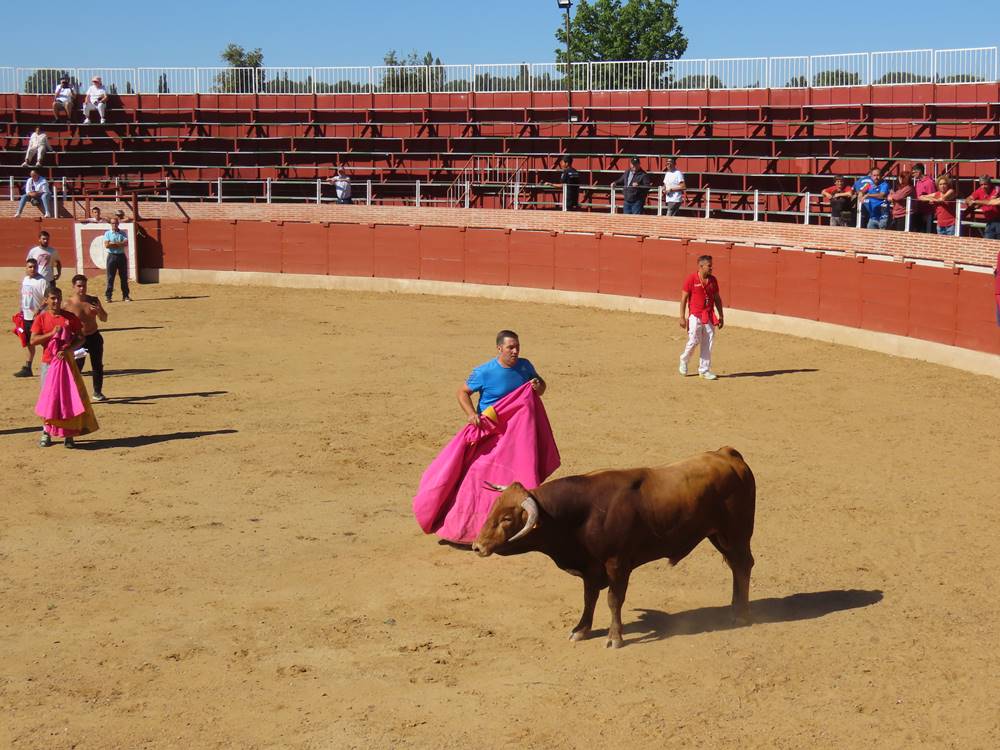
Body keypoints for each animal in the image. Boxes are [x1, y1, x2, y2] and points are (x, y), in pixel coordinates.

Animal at [472, 450, 752, 648]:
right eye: (493, 508)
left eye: (507, 518)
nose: (477, 546)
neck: (582, 514)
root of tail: (728, 454)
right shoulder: (590, 567)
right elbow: (589, 598)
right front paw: (581, 630)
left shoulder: (617, 564)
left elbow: (613, 599)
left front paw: (614, 637)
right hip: (718, 536)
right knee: (734, 566)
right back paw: (734, 607)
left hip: (737, 534)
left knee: (743, 565)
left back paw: (741, 615)